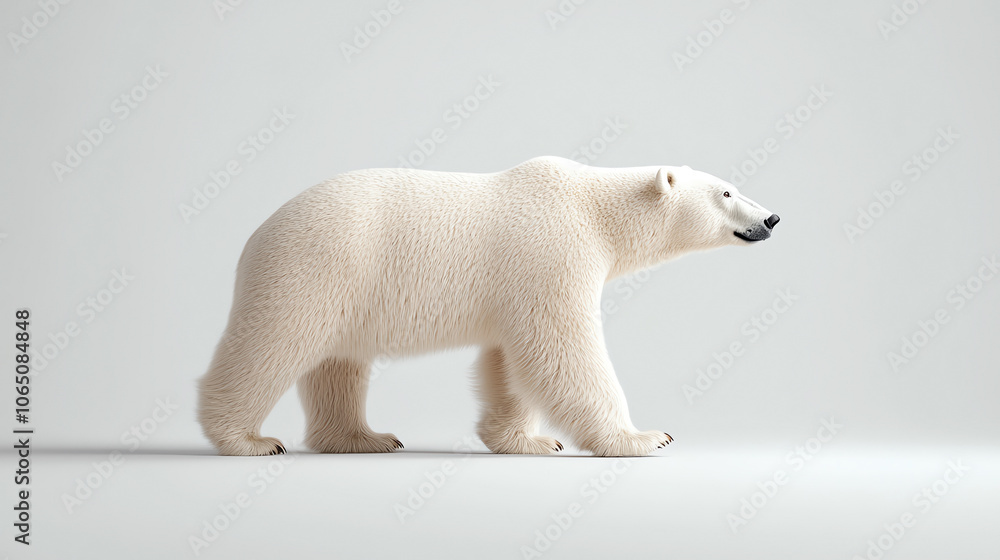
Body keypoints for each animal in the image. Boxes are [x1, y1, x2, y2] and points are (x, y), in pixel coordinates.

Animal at [197, 156, 779, 456]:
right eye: (727, 192)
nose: (772, 218)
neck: (594, 208)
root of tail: (257, 234)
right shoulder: (552, 254)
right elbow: (564, 350)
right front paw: (644, 437)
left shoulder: (514, 287)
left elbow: (509, 362)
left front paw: (528, 440)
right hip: (317, 268)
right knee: (272, 344)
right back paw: (248, 439)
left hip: (346, 292)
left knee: (338, 365)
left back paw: (366, 437)